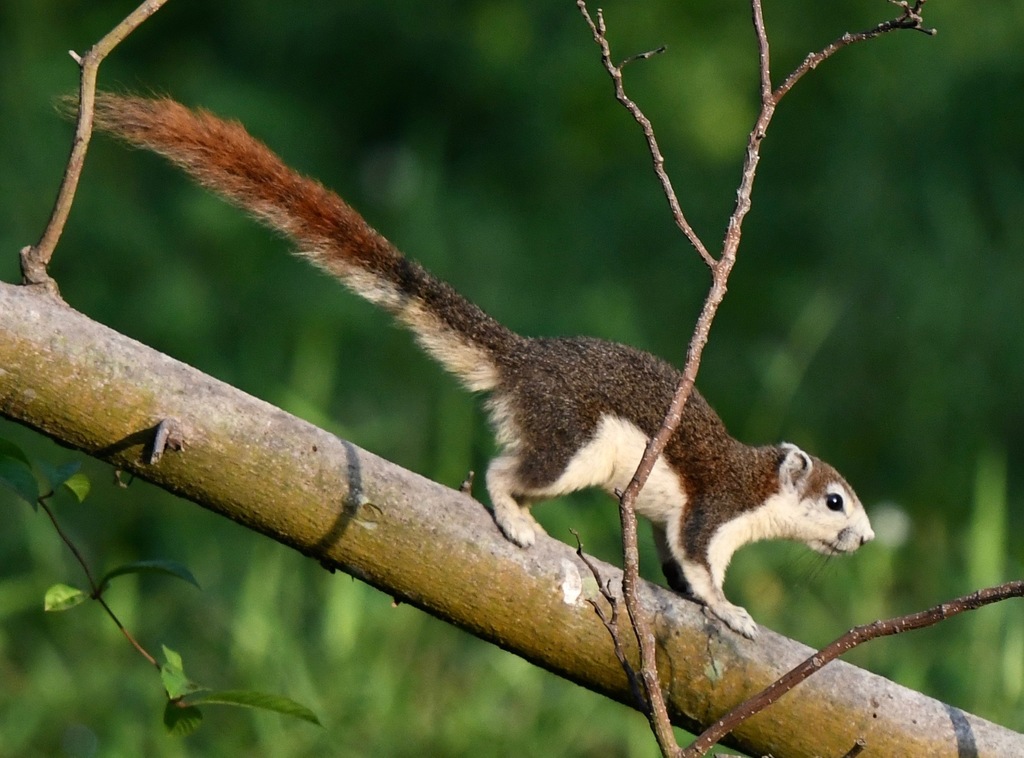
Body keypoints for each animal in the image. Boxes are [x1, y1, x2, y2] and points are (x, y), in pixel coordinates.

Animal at [84, 93, 874, 639]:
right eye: (837, 501)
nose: (867, 538)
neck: (754, 489)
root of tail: (525, 358)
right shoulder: (714, 508)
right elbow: (703, 563)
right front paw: (733, 611)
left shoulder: (667, 520)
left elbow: (673, 560)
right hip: (574, 441)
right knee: (504, 470)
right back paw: (521, 525)